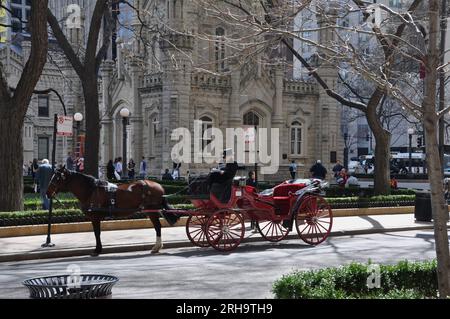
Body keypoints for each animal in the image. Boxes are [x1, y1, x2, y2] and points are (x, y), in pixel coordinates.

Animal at [45, 168, 178, 258]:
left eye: (57, 178)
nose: (47, 193)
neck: (91, 190)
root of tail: (159, 186)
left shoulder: (95, 217)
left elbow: (97, 233)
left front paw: (97, 250)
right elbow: (97, 233)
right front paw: (98, 249)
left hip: (152, 211)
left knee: (158, 227)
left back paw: (156, 246)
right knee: (157, 227)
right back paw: (157, 247)